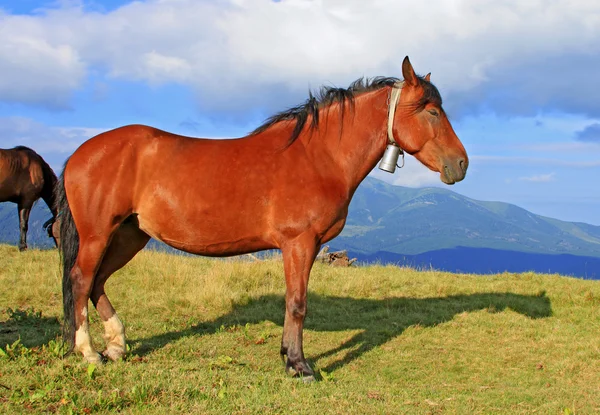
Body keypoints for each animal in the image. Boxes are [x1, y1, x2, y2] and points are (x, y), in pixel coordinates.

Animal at [56, 57, 468, 382]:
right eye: (432, 111)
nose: (461, 164)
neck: (318, 156)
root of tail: (78, 154)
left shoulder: (303, 247)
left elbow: (292, 302)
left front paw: (288, 356)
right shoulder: (299, 243)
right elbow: (298, 303)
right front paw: (300, 366)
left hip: (129, 235)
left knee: (97, 282)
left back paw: (116, 345)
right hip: (98, 235)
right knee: (81, 280)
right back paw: (89, 351)